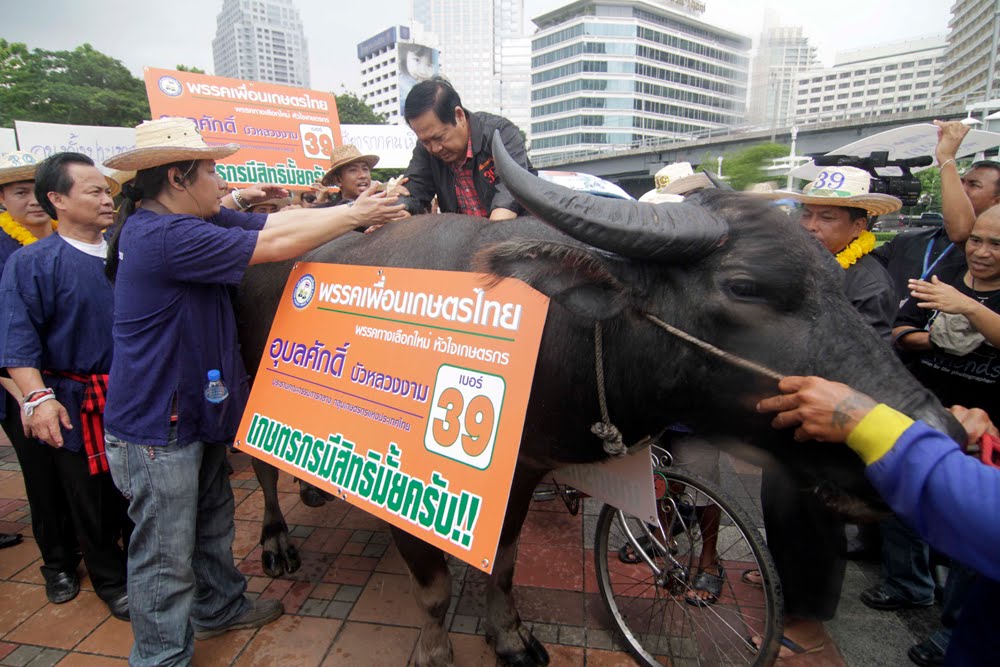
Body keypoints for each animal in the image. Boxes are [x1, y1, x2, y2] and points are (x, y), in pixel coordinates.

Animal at [235, 135, 962, 667]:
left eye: (838, 284)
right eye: (745, 286)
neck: (544, 326)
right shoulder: (400, 478)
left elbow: (504, 562)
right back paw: (276, 541)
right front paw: (438, 652)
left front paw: (511, 636)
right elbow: (435, 588)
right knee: (262, 470)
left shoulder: (520, 474)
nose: (941, 434)